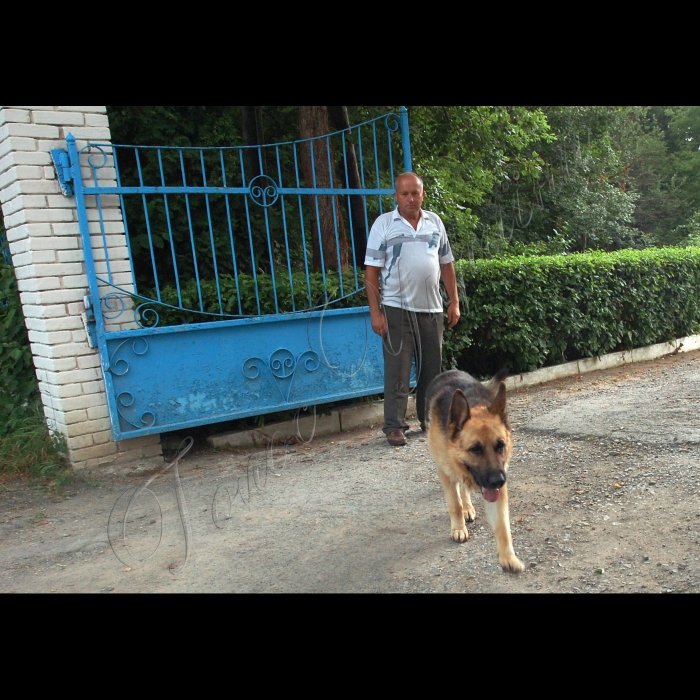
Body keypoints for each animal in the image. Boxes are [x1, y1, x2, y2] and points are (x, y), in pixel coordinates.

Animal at [424, 370, 524, 572]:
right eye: (475, 449)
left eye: (500, 445)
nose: (498, 480)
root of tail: (449, 371)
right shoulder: (446, 473)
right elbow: (455, 504)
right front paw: (458, 528)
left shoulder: (498, 490)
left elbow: (502, 525)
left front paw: (508, 556)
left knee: (464, 488)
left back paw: (468, 507)